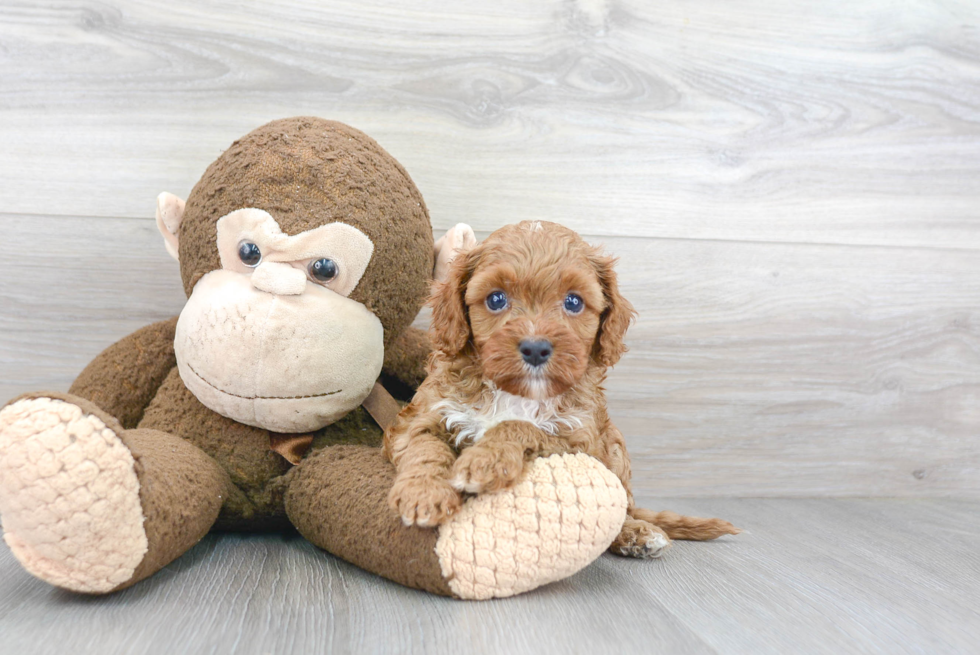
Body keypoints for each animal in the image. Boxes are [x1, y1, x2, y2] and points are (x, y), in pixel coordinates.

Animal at [386, 222, 740, 560]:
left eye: (573, 302)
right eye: (496, 299)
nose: (535, 348)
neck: (516, 393)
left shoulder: (583, 445)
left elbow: (521, 427)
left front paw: (486, 460)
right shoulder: (423, 415)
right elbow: (424, 449)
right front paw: (424, 494)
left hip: (616, 449)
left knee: (622, 504)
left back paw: (635, 533)